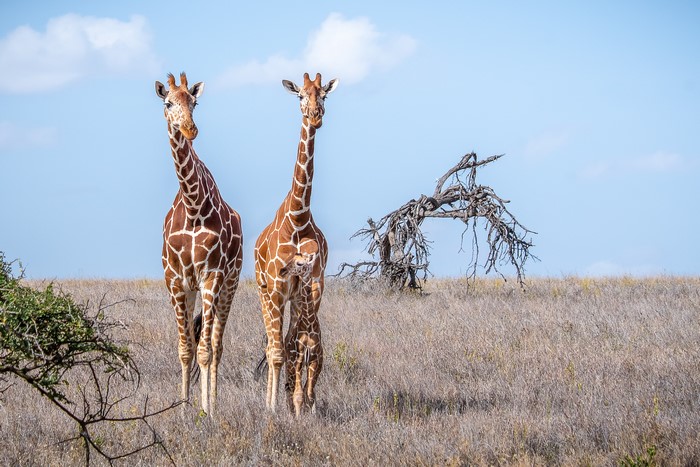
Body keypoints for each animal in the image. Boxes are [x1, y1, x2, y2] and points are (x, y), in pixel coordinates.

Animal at [155, 72, 243, 416]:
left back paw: (214, 403)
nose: (190, 129)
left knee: (216, 345)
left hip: (230, 283)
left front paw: (207, 411)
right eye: (168, 103)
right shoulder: (176, 280)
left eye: (194, 102)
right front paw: (182, 409)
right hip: (194, 289)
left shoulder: (212, 275)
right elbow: (185, 349)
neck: (193, 206)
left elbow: (205, 350)